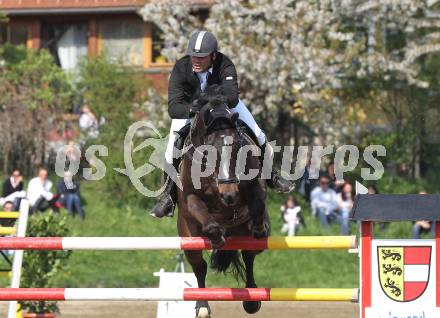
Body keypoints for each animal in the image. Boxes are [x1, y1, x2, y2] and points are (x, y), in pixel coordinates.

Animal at [177, 85, 270, 318]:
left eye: (237, 146)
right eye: (209, 151)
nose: (229, 194)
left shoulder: (256, 185)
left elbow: (257, 202)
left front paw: (259, 228)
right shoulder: (190, 198)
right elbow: (204, 217)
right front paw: (216, 236)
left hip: (245, 236)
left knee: (248, 254)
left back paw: (252, 300)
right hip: (188, 238)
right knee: (199, 267)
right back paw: (202, 306)